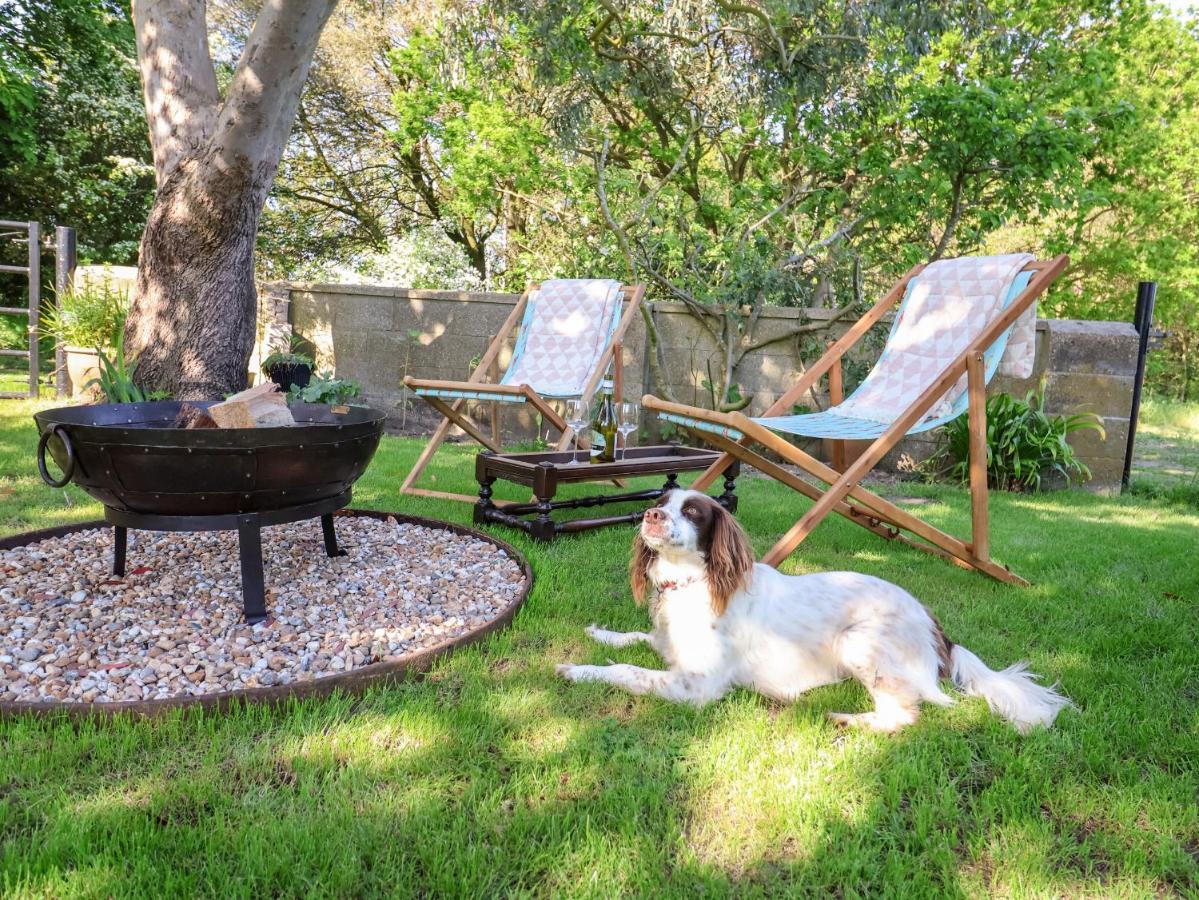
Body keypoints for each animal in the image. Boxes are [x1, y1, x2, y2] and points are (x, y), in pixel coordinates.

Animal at [556, 488, 1074, 733]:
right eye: (662, 501)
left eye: (693, 513)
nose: (650, 515)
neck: (690, 584)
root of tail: (938, 630)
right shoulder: (666, 644)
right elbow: (633, 640)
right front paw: (598, 634)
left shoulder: (697, 685)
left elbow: (626, 670)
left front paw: (577, 670)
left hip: (857, 641)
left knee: (907, 712)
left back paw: (848, 719)